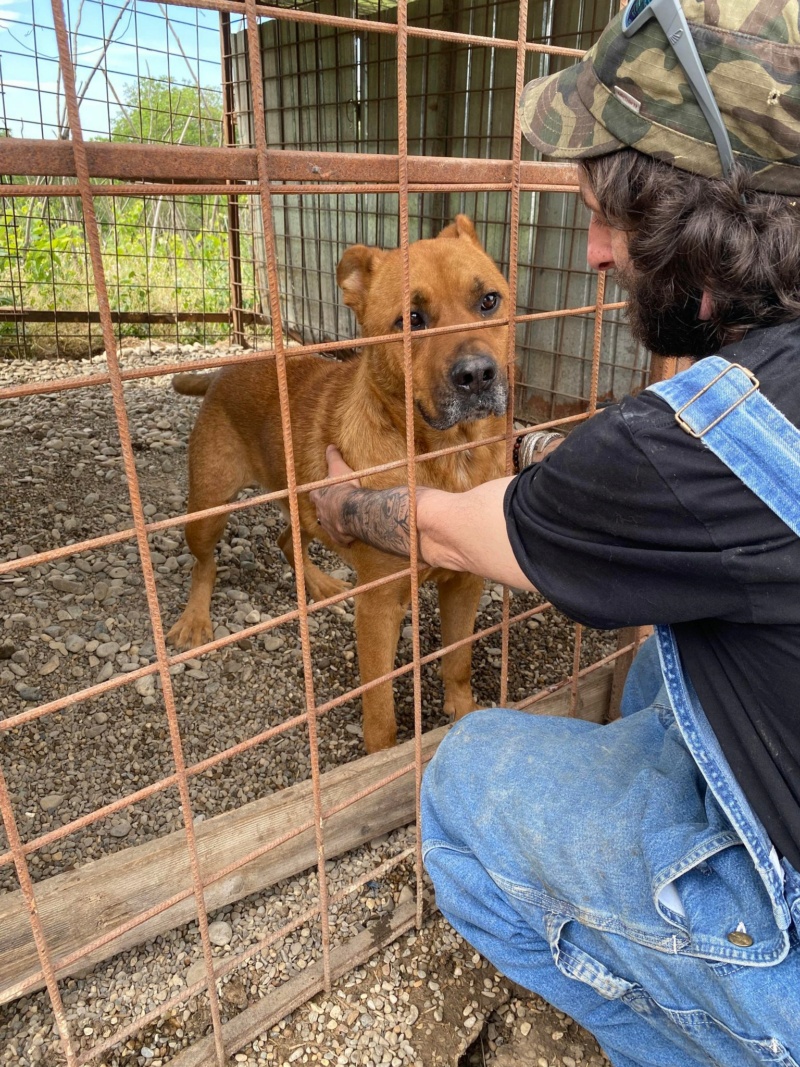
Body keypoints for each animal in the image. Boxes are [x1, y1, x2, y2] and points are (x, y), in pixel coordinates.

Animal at [166, 216, 509, 751]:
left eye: (489, 301)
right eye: (411, 319)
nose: (477, 375)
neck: (448, 459)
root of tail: (226, 370)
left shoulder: (465, 583)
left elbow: (457, 660)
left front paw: (463, 713)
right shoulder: (380, 607)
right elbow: (380, 708)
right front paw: (383, 757)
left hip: (307, 504)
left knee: (287, 538)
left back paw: (321, 583)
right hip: (208, 508)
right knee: (205, 562)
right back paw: (195, 618)